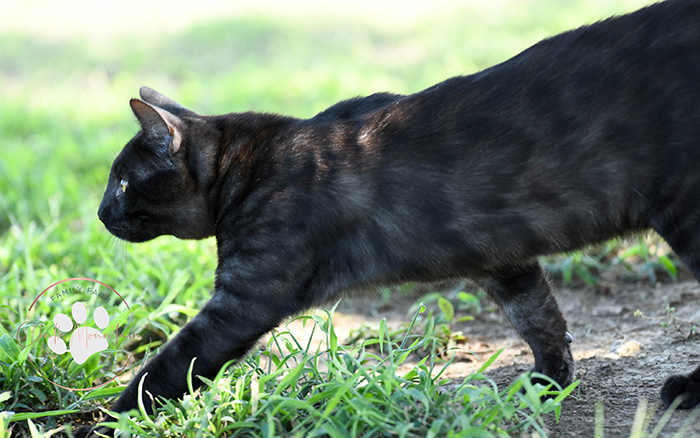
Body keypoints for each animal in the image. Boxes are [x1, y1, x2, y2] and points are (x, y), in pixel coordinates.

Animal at [89, 0, 700, 432]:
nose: (98, 212)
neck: (247, 167)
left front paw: (101, 421)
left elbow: (164, 369)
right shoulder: (504, 258)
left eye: (122, 181)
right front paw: (549, 382)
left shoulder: (241, 302)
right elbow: (541, 318)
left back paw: (689, 390)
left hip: (685, 211)